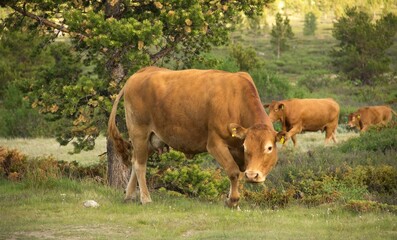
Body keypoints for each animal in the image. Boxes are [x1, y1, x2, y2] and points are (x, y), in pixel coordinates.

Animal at [107, 66, 284, 208]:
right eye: (247, 147)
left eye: (269, 148)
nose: (253, 175)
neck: (237, 100)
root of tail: (141, 72)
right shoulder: (215, 144)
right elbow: (233, 172)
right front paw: (232, 201)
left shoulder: (236, 151)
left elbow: (239, 175)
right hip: (139, 133)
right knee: (139, 165)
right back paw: (145, 198)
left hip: (150, 139)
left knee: (134, 161)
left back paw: (129, 195)